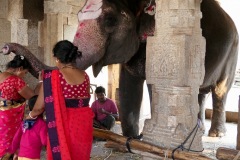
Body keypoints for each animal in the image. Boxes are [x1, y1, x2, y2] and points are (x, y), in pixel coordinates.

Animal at [0, 0, 238, 138]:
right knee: (201, 92)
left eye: (110, 20)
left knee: (220, 91)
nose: (6, 48)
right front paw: (132, 139)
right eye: (76, 17)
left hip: (233, 50)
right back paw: (199, 130)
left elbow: (155, 84)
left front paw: (145, 137)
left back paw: (215, 134)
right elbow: (127, 87)